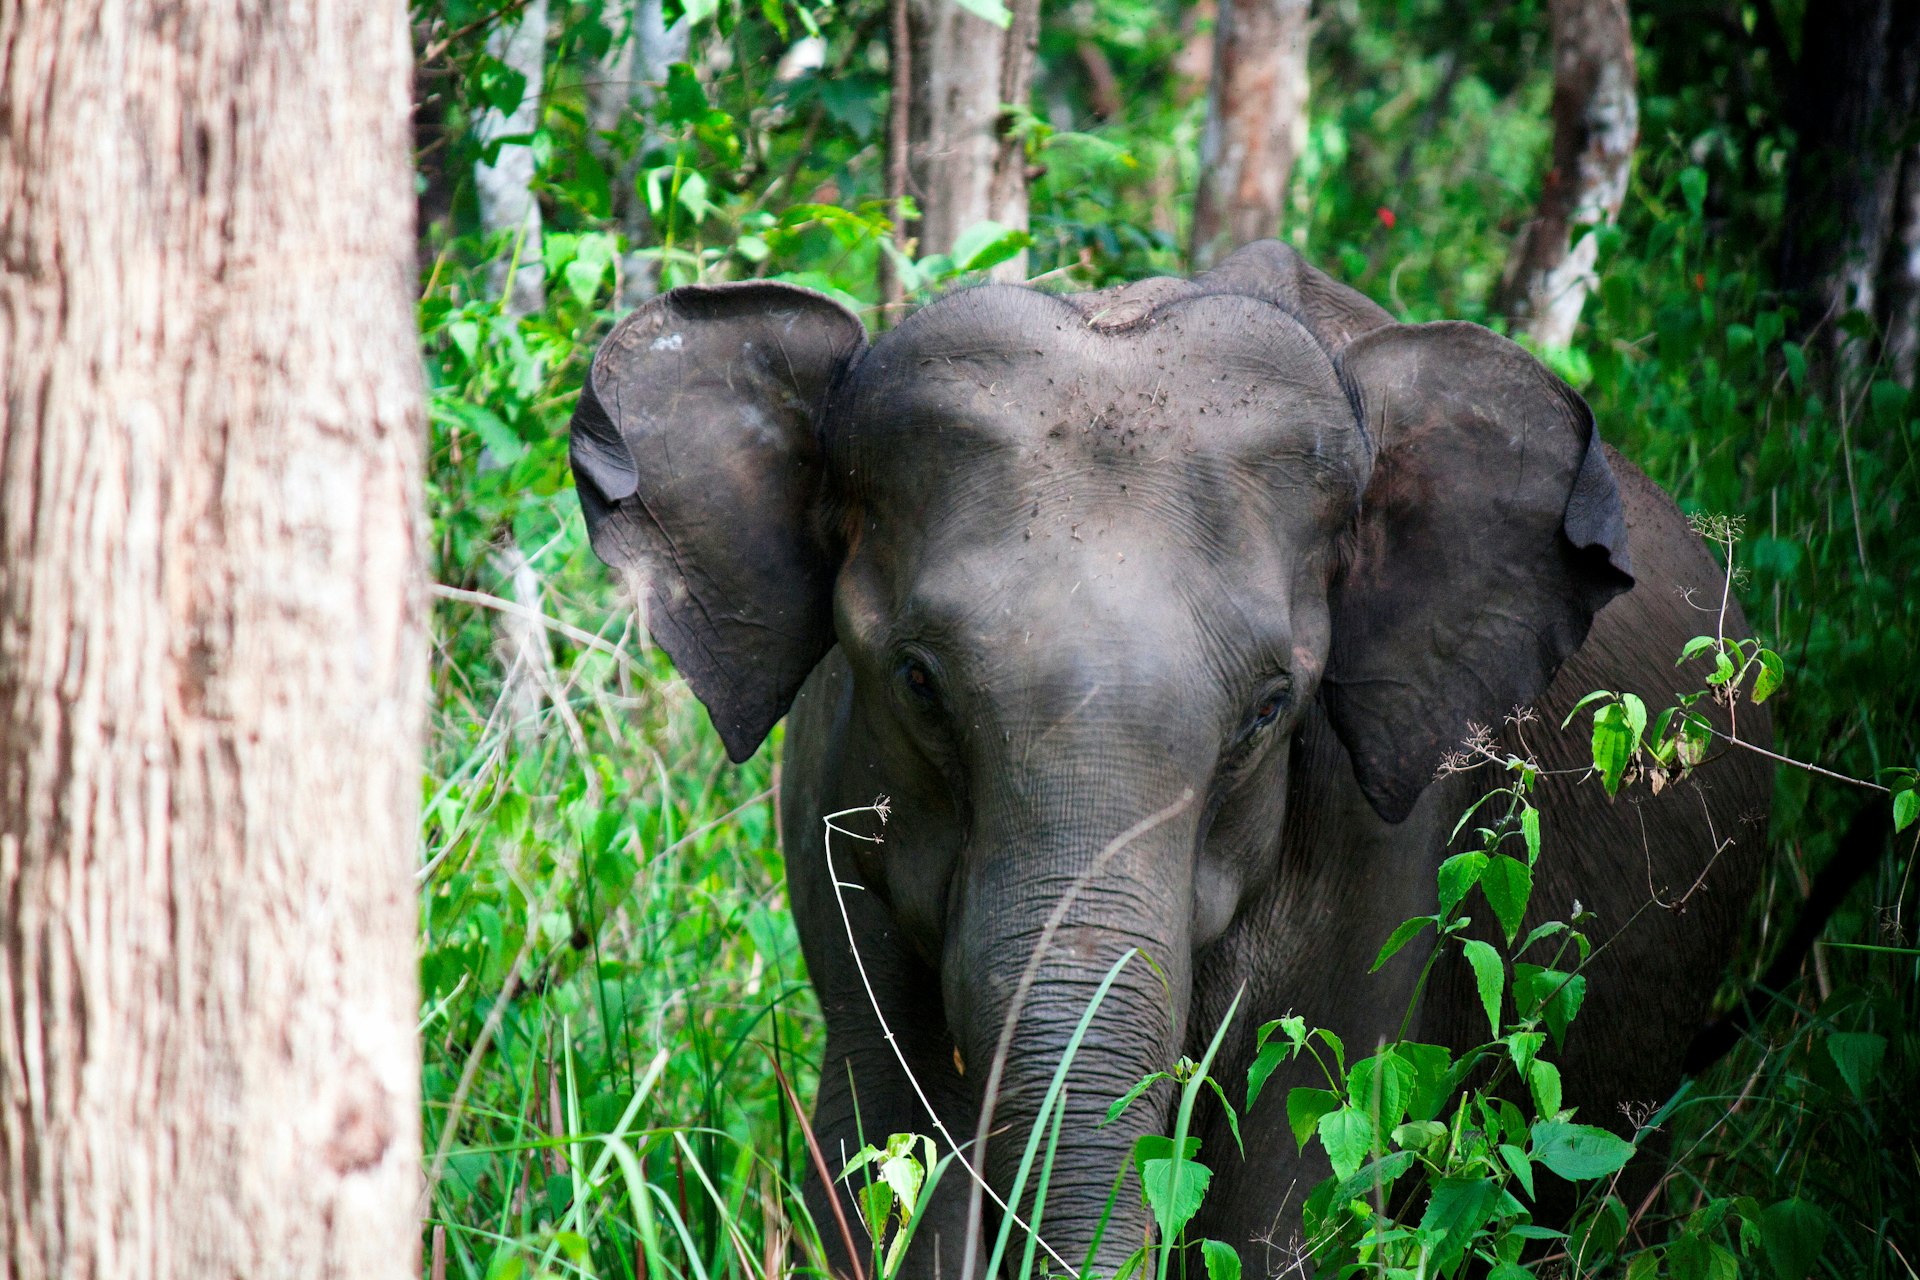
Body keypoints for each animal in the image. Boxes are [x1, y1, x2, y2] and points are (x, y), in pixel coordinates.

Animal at [564, 242, 1766, 1280]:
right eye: (917, 681)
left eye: (1270, 709)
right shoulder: (827, 795)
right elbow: (882, 1150)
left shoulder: (1386, 841)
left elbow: (1291, 1183)